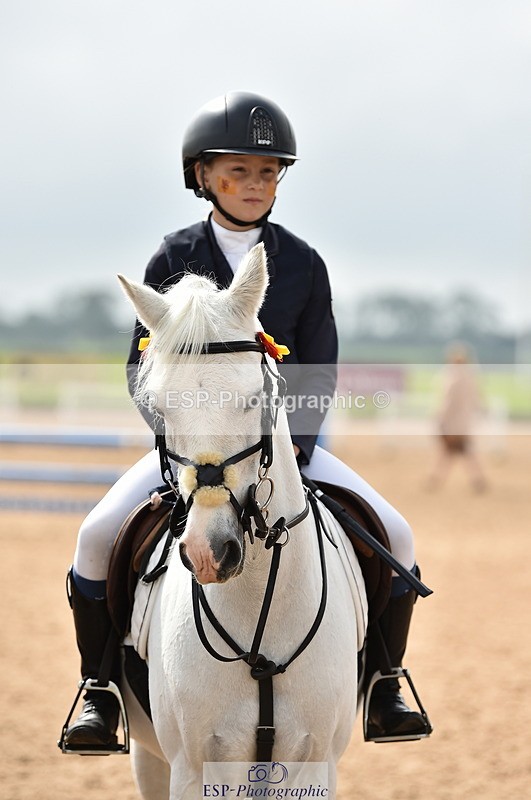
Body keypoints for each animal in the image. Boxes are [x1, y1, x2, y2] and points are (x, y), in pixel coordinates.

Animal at [117, 243, 367, 800]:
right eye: (158, 407)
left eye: (256, 398)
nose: (209, 552)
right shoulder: (196, 767)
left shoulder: (314, 764)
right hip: (151, 758)